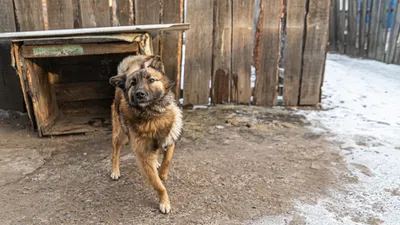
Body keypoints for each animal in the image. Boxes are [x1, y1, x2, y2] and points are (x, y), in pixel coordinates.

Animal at [109, 54, 184, 213]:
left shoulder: (170, 139)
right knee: (115, 151)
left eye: (151, 80)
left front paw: (162, 174)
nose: (140, 94)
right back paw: (115, 170)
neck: (153, 115)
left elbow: (167, 160)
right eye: (133, 83)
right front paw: (164, 201)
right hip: (121, 135)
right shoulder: (143, 156)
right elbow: (158, 185)